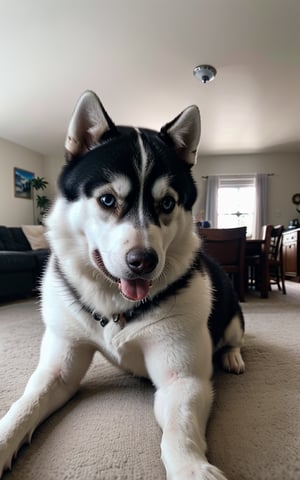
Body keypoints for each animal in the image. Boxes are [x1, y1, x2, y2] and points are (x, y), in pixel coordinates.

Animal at [0, 91, 244, 480]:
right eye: (107, 199)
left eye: (167, 202)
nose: (143, 261)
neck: (114, 305)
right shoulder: (58, 367)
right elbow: (25, 405)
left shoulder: (183, 379)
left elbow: (179, 430)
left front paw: (191, 468)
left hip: (233, 314)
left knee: (234, 336)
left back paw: (232, 355)